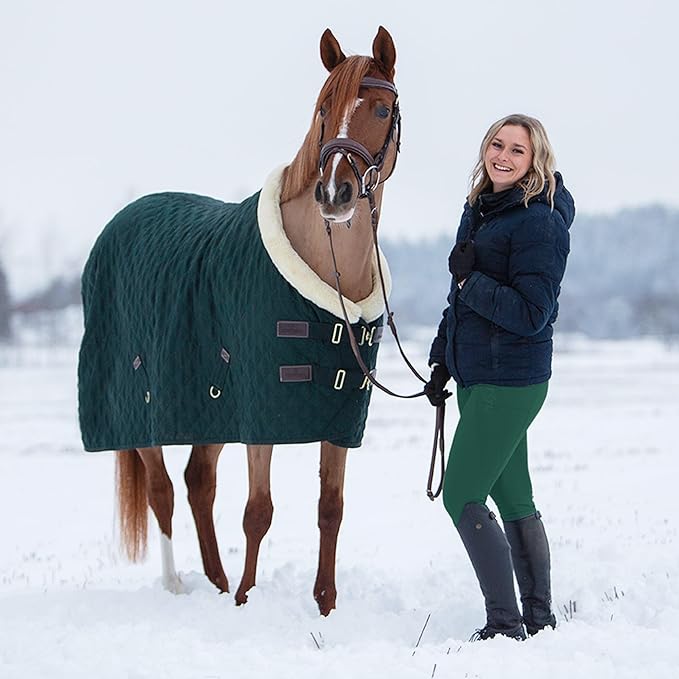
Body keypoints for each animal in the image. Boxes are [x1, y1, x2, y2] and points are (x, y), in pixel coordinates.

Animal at [77, 26, 401, 616]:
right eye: (323, 109)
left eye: (383, 109)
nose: (335, 193)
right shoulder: (258, 416)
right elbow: (258, 511)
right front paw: (249, 600)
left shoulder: (339, 418)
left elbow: (331, 508)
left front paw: (324, 605)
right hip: (143, 410)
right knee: (162, 490)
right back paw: (178, 585)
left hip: (208, 411)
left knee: (198, 481)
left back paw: (216, 580)